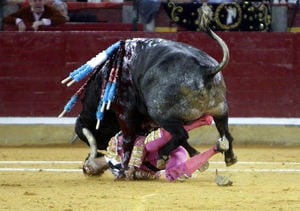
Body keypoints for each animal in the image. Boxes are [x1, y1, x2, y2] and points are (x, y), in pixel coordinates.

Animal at [72, 29, 237, 173]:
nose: (100, 149)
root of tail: (207, 70)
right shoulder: (148, 122)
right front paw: (198, 159)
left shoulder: (124, 112)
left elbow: (128, 140)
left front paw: (125, 170)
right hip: (220, 110)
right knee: (225, 133)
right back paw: (229, 157)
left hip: (160, 113)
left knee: (181, 134)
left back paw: (161, 156)